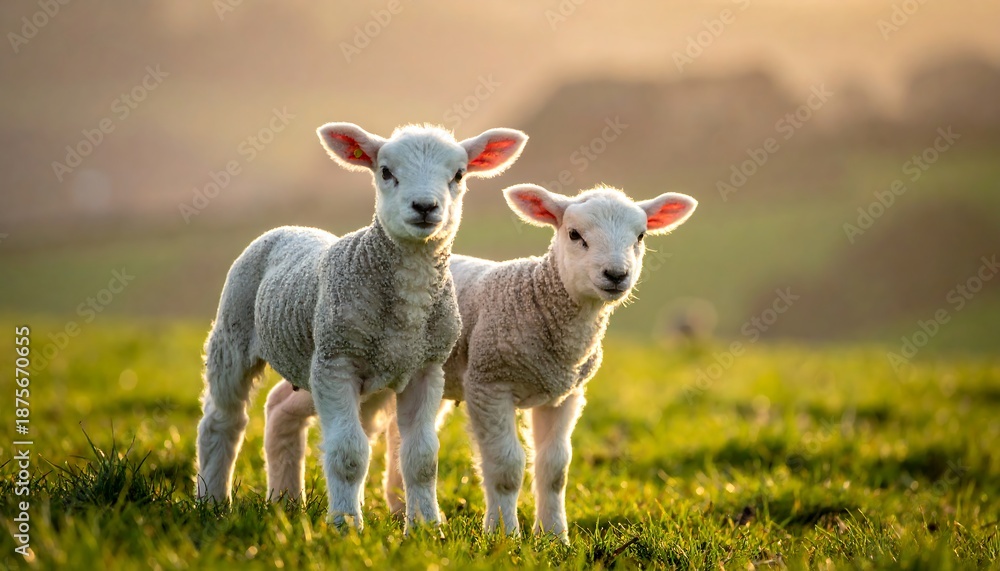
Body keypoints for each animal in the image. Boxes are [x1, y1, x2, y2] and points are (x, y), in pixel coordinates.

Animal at [194, 122, 528, 533]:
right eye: (385, 171)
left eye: (459, 174)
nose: (425, 207)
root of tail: (290, 227)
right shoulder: (336, 362)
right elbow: (348, 453)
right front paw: (345, 526)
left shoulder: (426, 368)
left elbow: (422, 459)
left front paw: (426, 527)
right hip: (233, 332)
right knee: (222, 420)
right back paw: (211, 501)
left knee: (275, 407)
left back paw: (285, 501)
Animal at [262, 183, 697, 541]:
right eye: (575, 235)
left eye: (640, 236)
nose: (616, 274)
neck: (538, 299)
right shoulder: (489, 382)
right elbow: (506, 466)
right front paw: (504, 536)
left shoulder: (565, 395)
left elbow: (555, 470)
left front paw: (555, 538)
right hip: (338, 363)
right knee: (280, 404)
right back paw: (285, 500)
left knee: (390, 434)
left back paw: (399, 509)